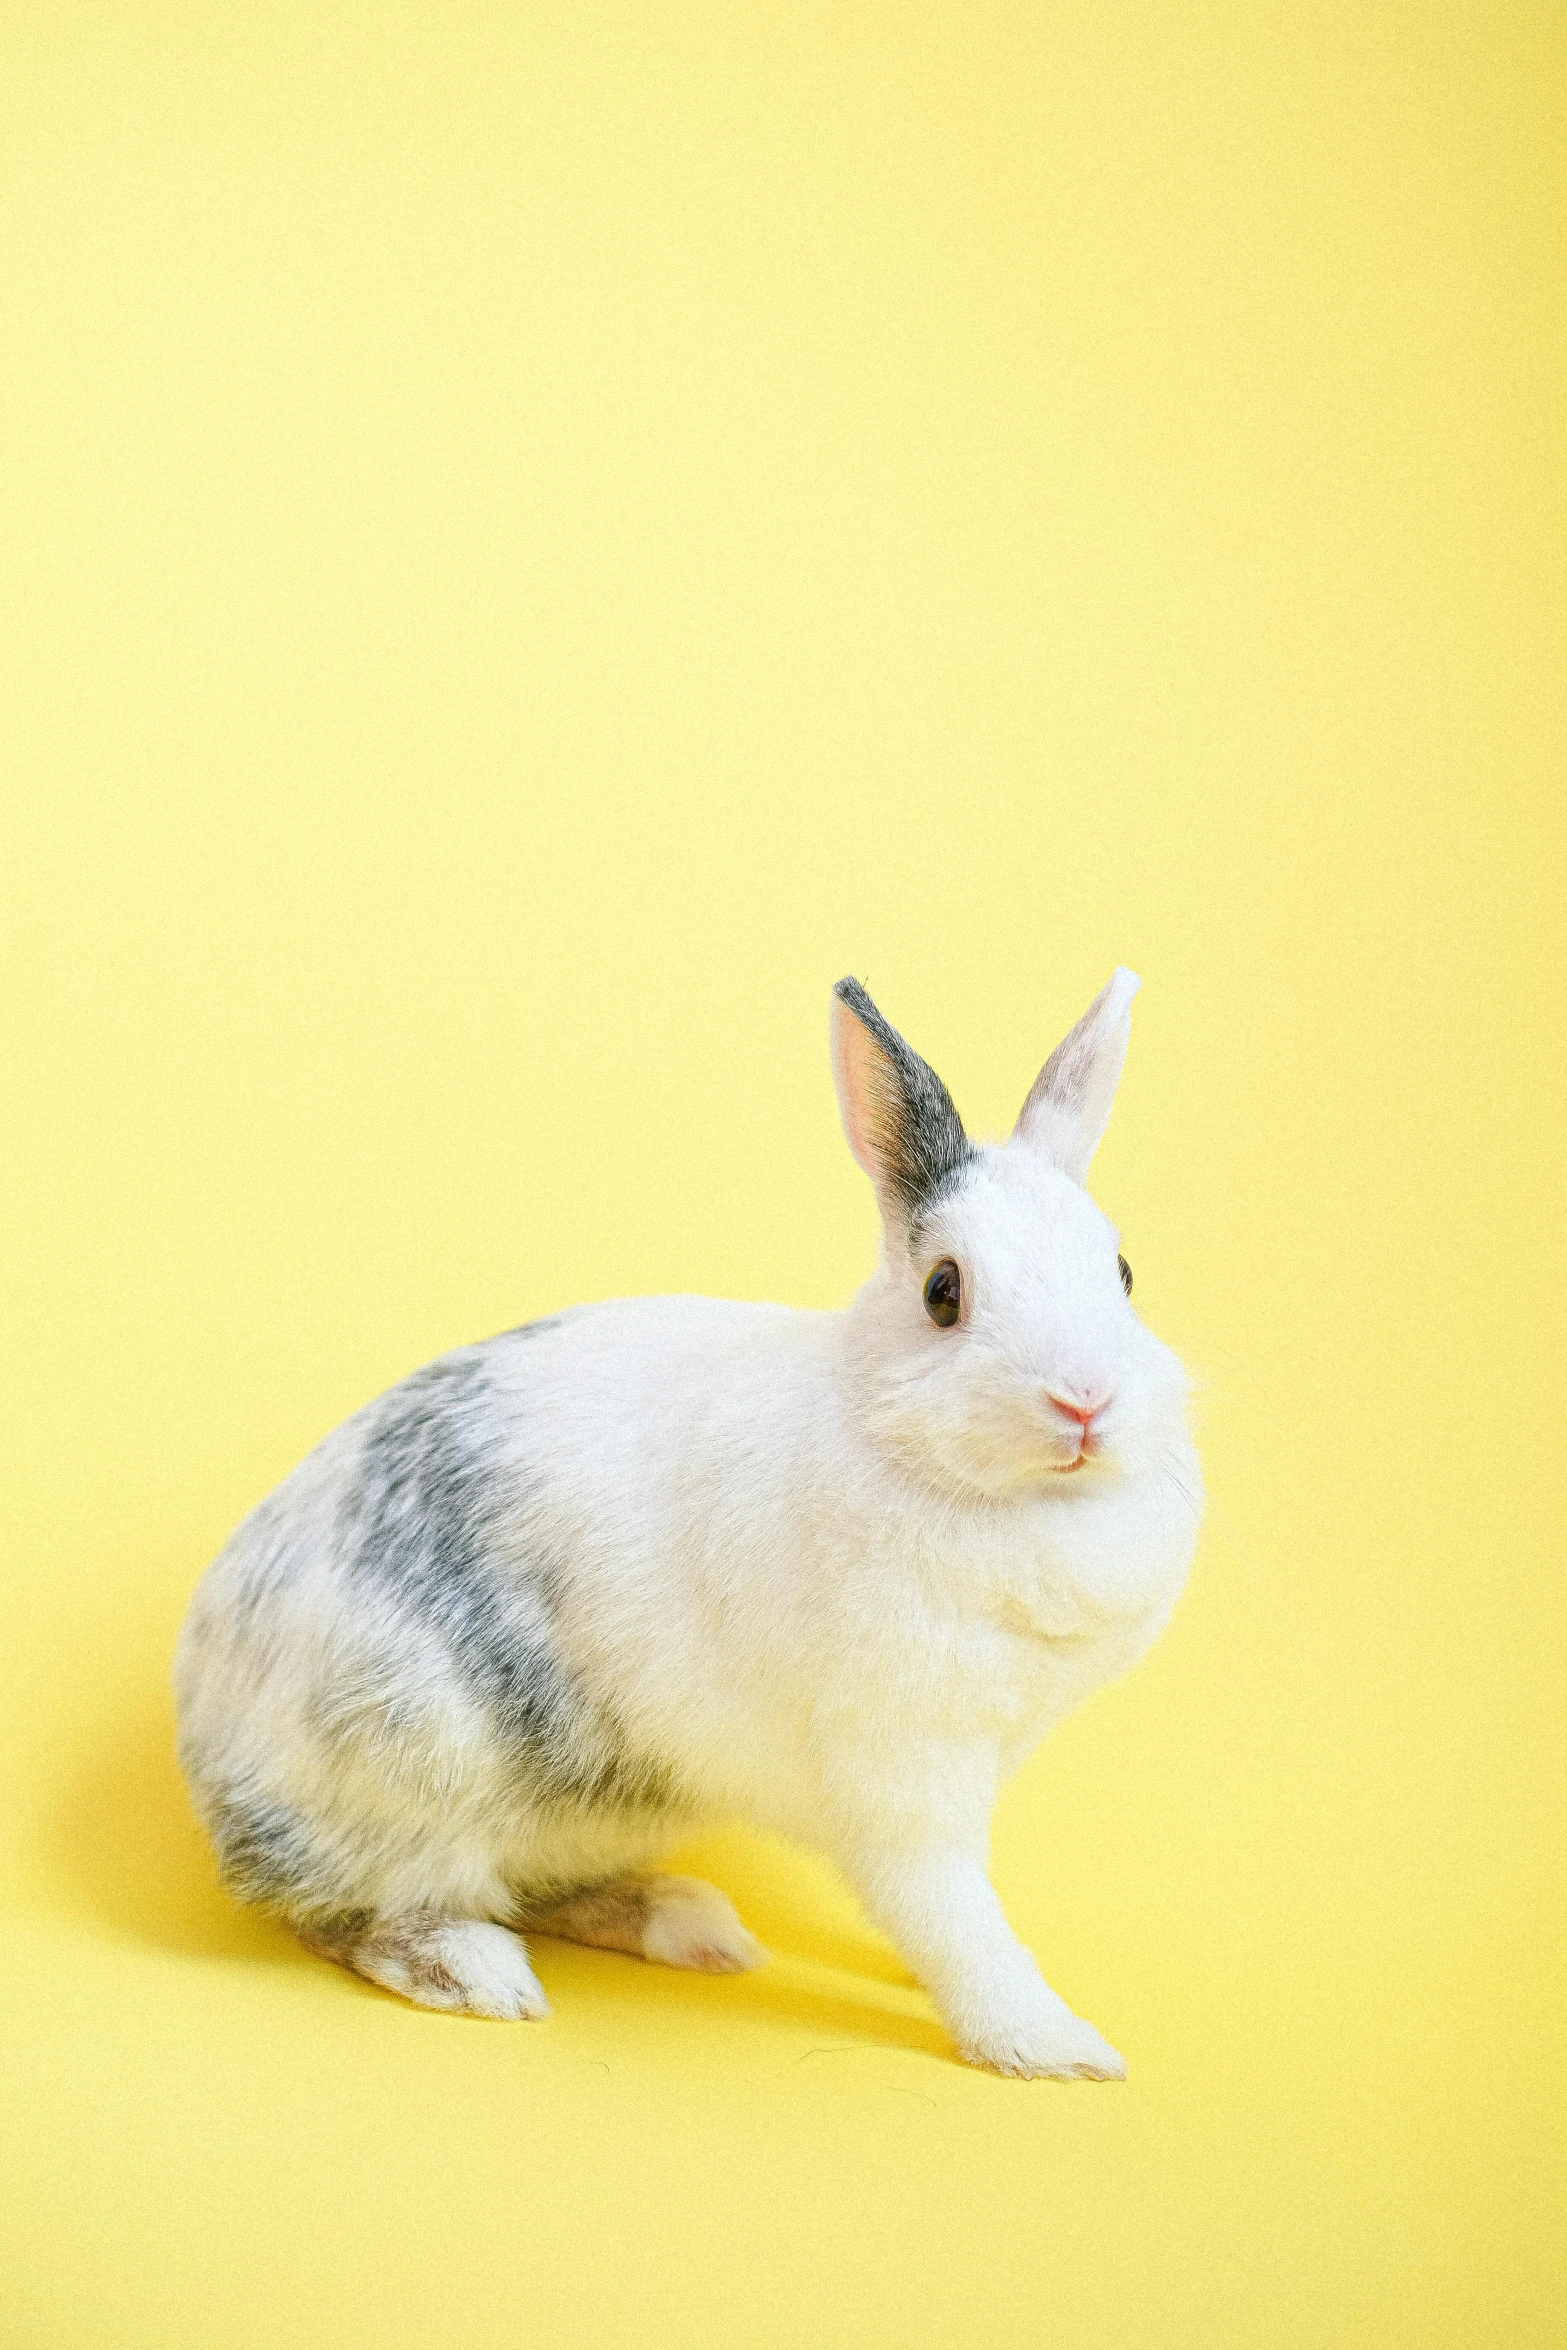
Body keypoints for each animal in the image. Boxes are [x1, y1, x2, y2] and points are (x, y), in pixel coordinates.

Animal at [175, 968, 1202, 2077]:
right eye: (943, 1292)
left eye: (1124, 1274)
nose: (1085, 1401)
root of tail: (202, 1726)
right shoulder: (899, 1776)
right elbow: (951, 1916)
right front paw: (1051, 2045)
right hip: (410, 1768)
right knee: (341, 1913)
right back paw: (481, 1973)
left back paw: (686, 1923)